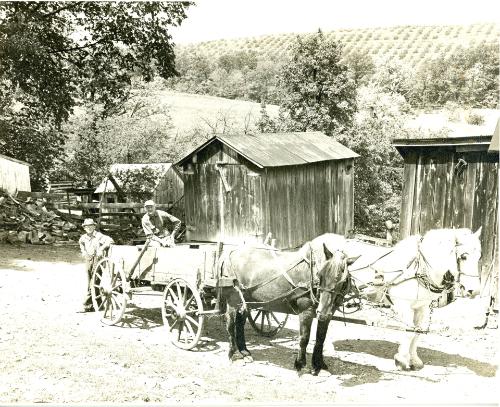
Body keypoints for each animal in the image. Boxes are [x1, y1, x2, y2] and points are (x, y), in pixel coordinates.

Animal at [219, 239, 352, 376]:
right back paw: (235, 355)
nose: (323, 311)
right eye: (320, 275)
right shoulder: (306, 311)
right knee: (230, 323)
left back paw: (244, 352)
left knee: (240, 323)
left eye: (343, 282)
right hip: (234, 300)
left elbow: (321, 338)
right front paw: (301, 366)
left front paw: (320, 366)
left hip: (247, 301)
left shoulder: (328, 315)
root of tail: (230, 253)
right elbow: (304, 338)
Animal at [300, 228, 480, 372]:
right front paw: (401, 359)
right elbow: (409, 332)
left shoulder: (421, 307)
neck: (418, 268)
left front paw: (414, 360)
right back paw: (328, 348)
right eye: (463, 256)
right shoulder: (403, 306)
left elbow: (417, 332)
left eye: (479, 257)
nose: (474, 291)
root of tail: (313, 242)